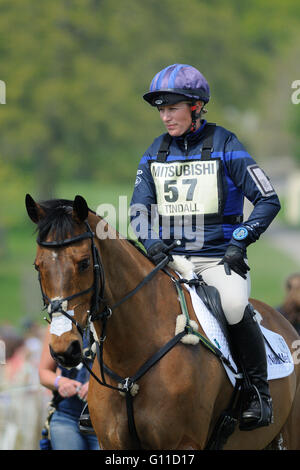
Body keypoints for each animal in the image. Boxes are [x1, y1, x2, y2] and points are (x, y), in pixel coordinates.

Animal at [25, 194, 300, 448]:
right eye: (38, 267)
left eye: (83, 263)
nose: (64, 349)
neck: (130, 357)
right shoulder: (111, 443)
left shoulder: (182, 443)